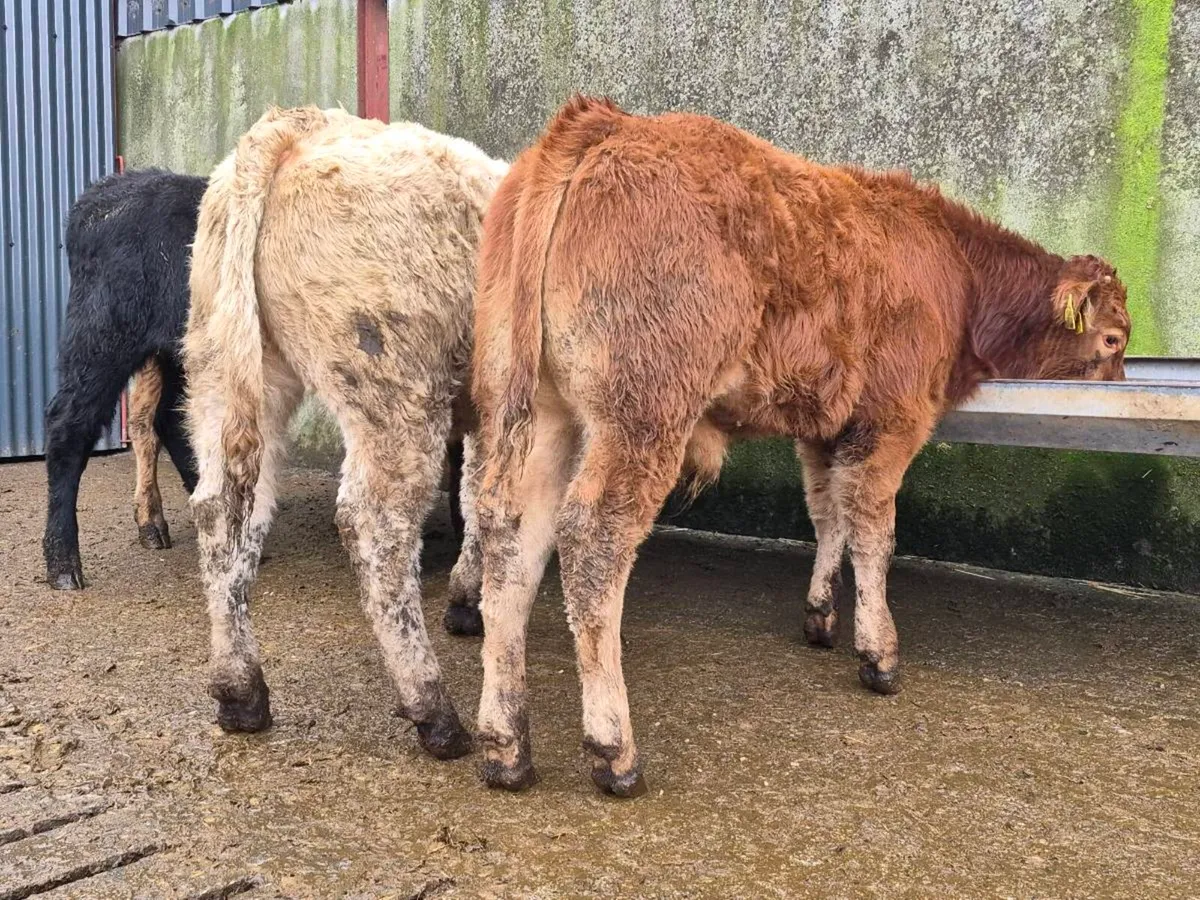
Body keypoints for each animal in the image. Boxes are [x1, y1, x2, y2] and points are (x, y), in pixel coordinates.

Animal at [183, 106, 507, 759]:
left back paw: (240, 693)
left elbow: (477, 498)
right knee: (376, 527)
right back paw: (434, 712)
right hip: (395, 387)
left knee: (224, 512)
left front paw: (469, 596)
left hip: (226, 369)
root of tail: (295, 127)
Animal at [469, 96, 1131, 796]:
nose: (1119, 386)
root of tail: (604, 122)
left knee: (511, 535)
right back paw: (613, 750)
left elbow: (828, 514)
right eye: (1113, 338)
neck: (954, 265)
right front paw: (879, 652)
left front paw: (820, 616)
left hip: (538, 410)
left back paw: (505, 746)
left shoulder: (823, 429)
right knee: (593, 541)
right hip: (643, 411)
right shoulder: (894, 419)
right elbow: (874, 531)